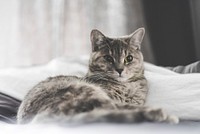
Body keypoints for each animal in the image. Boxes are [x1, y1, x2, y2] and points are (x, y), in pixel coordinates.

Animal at [17, 27, 178, 124]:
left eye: (129, 58)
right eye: (108, 58)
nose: (120, 70)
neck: (126, 87)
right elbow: (127, 107)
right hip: (88, 93)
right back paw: (161, 114)